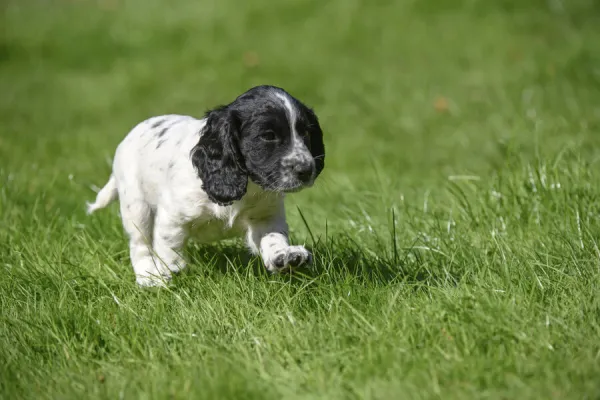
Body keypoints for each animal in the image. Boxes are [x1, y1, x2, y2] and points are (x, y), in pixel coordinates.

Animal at [86, 84, 326, 286]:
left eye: (306, 132)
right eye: (268, 136)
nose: (306, 170)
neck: (246, 184)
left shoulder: (265, 217)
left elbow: (273, 238)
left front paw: (285, 257)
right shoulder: (172, 217)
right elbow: (169, 246)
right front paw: (173, 270)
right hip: (136, 206)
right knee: (140, 244)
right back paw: (148, 277)